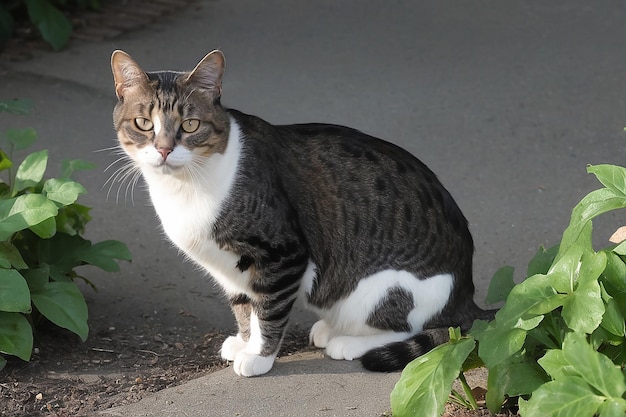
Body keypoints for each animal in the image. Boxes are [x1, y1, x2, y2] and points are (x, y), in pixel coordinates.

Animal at [111, 49, 492, 376]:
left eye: (189, 125)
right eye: (144, 123)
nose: (163, 150)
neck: (185, 188)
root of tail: (466, 297)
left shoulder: (284, 254)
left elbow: (269, 310)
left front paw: (259, 357)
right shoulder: (229, 269)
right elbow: (244, 307)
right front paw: (245, 342)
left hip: (384, 289)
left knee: (420, 328)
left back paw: (347, 341)